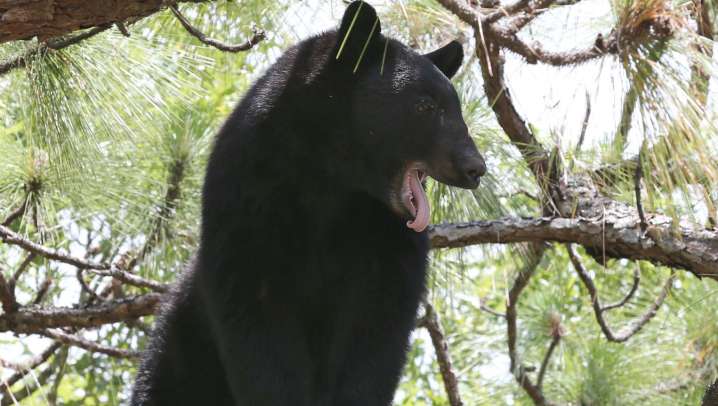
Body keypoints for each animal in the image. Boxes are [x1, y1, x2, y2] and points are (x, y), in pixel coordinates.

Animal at [130, 1, 486, 405]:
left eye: (456, 108)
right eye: (425, 106)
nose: (475, 167)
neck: (331, 178)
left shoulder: (388, 240)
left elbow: (376, 331)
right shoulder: (246, 199)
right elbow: (258, 322)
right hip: (177, 350)